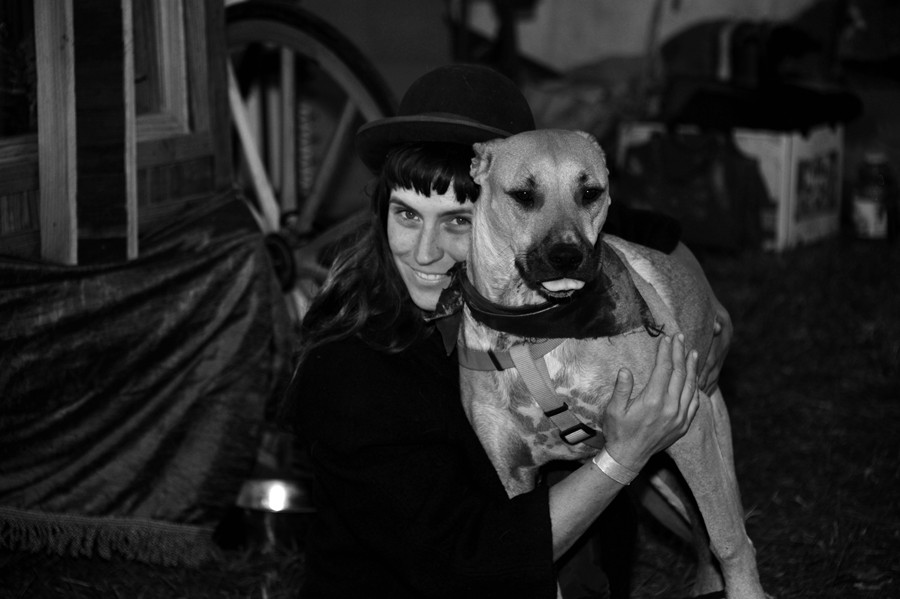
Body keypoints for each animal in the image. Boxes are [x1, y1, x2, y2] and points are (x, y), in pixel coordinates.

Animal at [455, 129, 766, 599]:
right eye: (524, 195)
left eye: (590, 193)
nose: (566, 255)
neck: (532, 334)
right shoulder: (514, 478)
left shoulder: (688, 431)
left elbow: (728, 539)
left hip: (702, 450)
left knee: (718, 531)